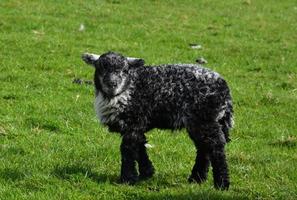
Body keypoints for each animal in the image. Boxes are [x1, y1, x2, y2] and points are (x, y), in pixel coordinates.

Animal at [81, 50, 234, 190]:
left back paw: (222, 183)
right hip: (198, 122)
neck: (126, 91)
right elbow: (140, 145)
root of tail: (224, 88)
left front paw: (127, 178)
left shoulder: (134, 121)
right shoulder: (136, 124)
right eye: (100, 68)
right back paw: (196, 179)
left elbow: (127, 149)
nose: (112, 84)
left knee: (216, 146)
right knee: (203, 148)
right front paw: (147, 172)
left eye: (125, 70)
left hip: (204, 119)